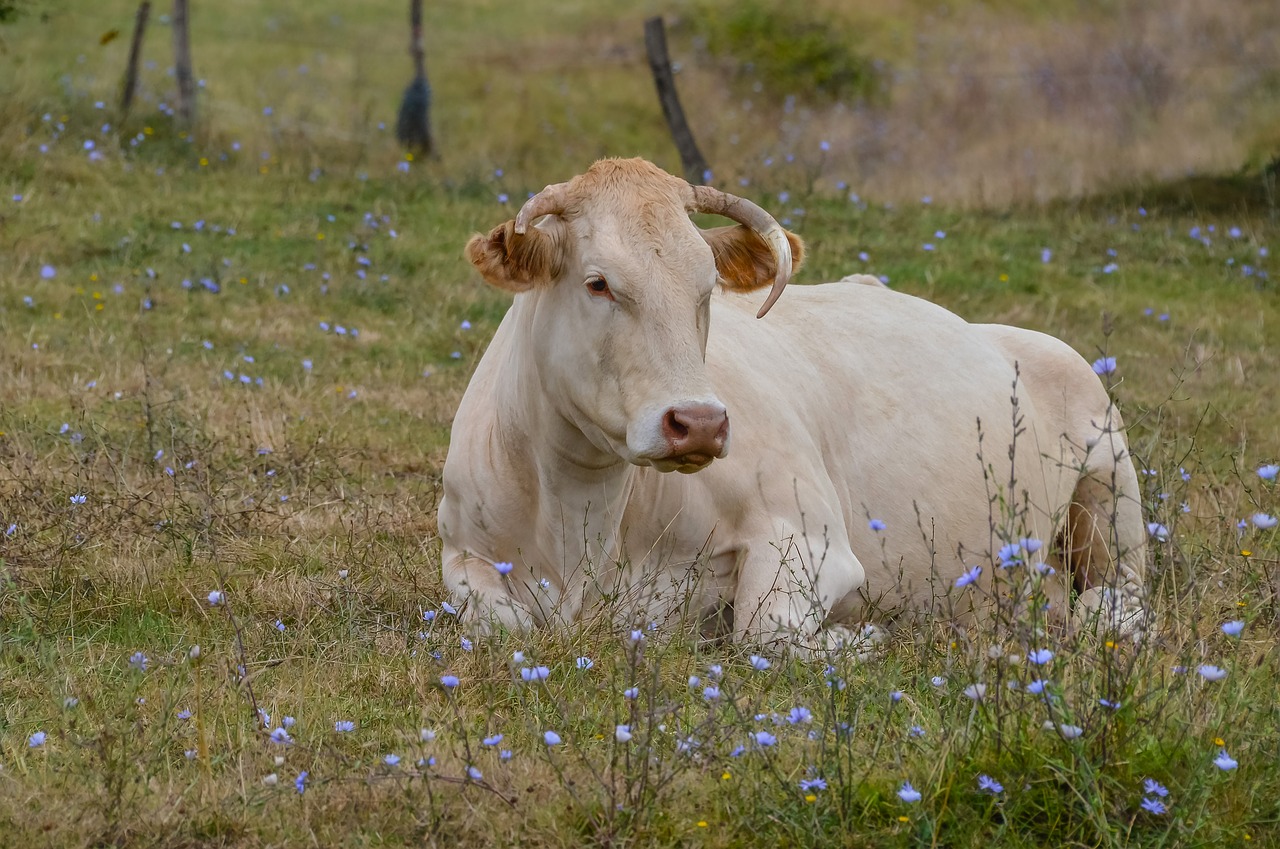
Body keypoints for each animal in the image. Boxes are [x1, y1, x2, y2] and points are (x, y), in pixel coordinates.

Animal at [440, 157, 1152, 650]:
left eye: (708, 288)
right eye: (598, 283)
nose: (699, 423)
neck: (580, 522)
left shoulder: (813, 537)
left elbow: (766, 633)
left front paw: (859, 638)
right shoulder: (462, 556)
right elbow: (501, 625)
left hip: (1112, 493)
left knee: (1123, 597)